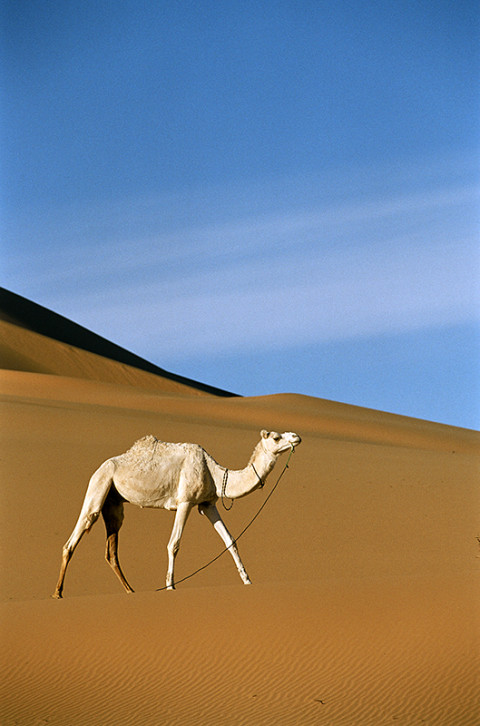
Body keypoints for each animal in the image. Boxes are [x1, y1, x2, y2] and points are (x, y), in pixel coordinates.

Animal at [52, 432, 300, 596]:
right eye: (276, 438)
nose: (296, 437)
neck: (214, 473)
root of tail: (99, 468)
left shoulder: (207, 504)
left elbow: (230, 540)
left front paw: (247, 580)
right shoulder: (185, 501)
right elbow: (174, 544)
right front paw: (171, 585)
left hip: (113, 504)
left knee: (111, 549)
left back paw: (131, 590)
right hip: (99, 484)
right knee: (76, 535)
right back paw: (57, 592)